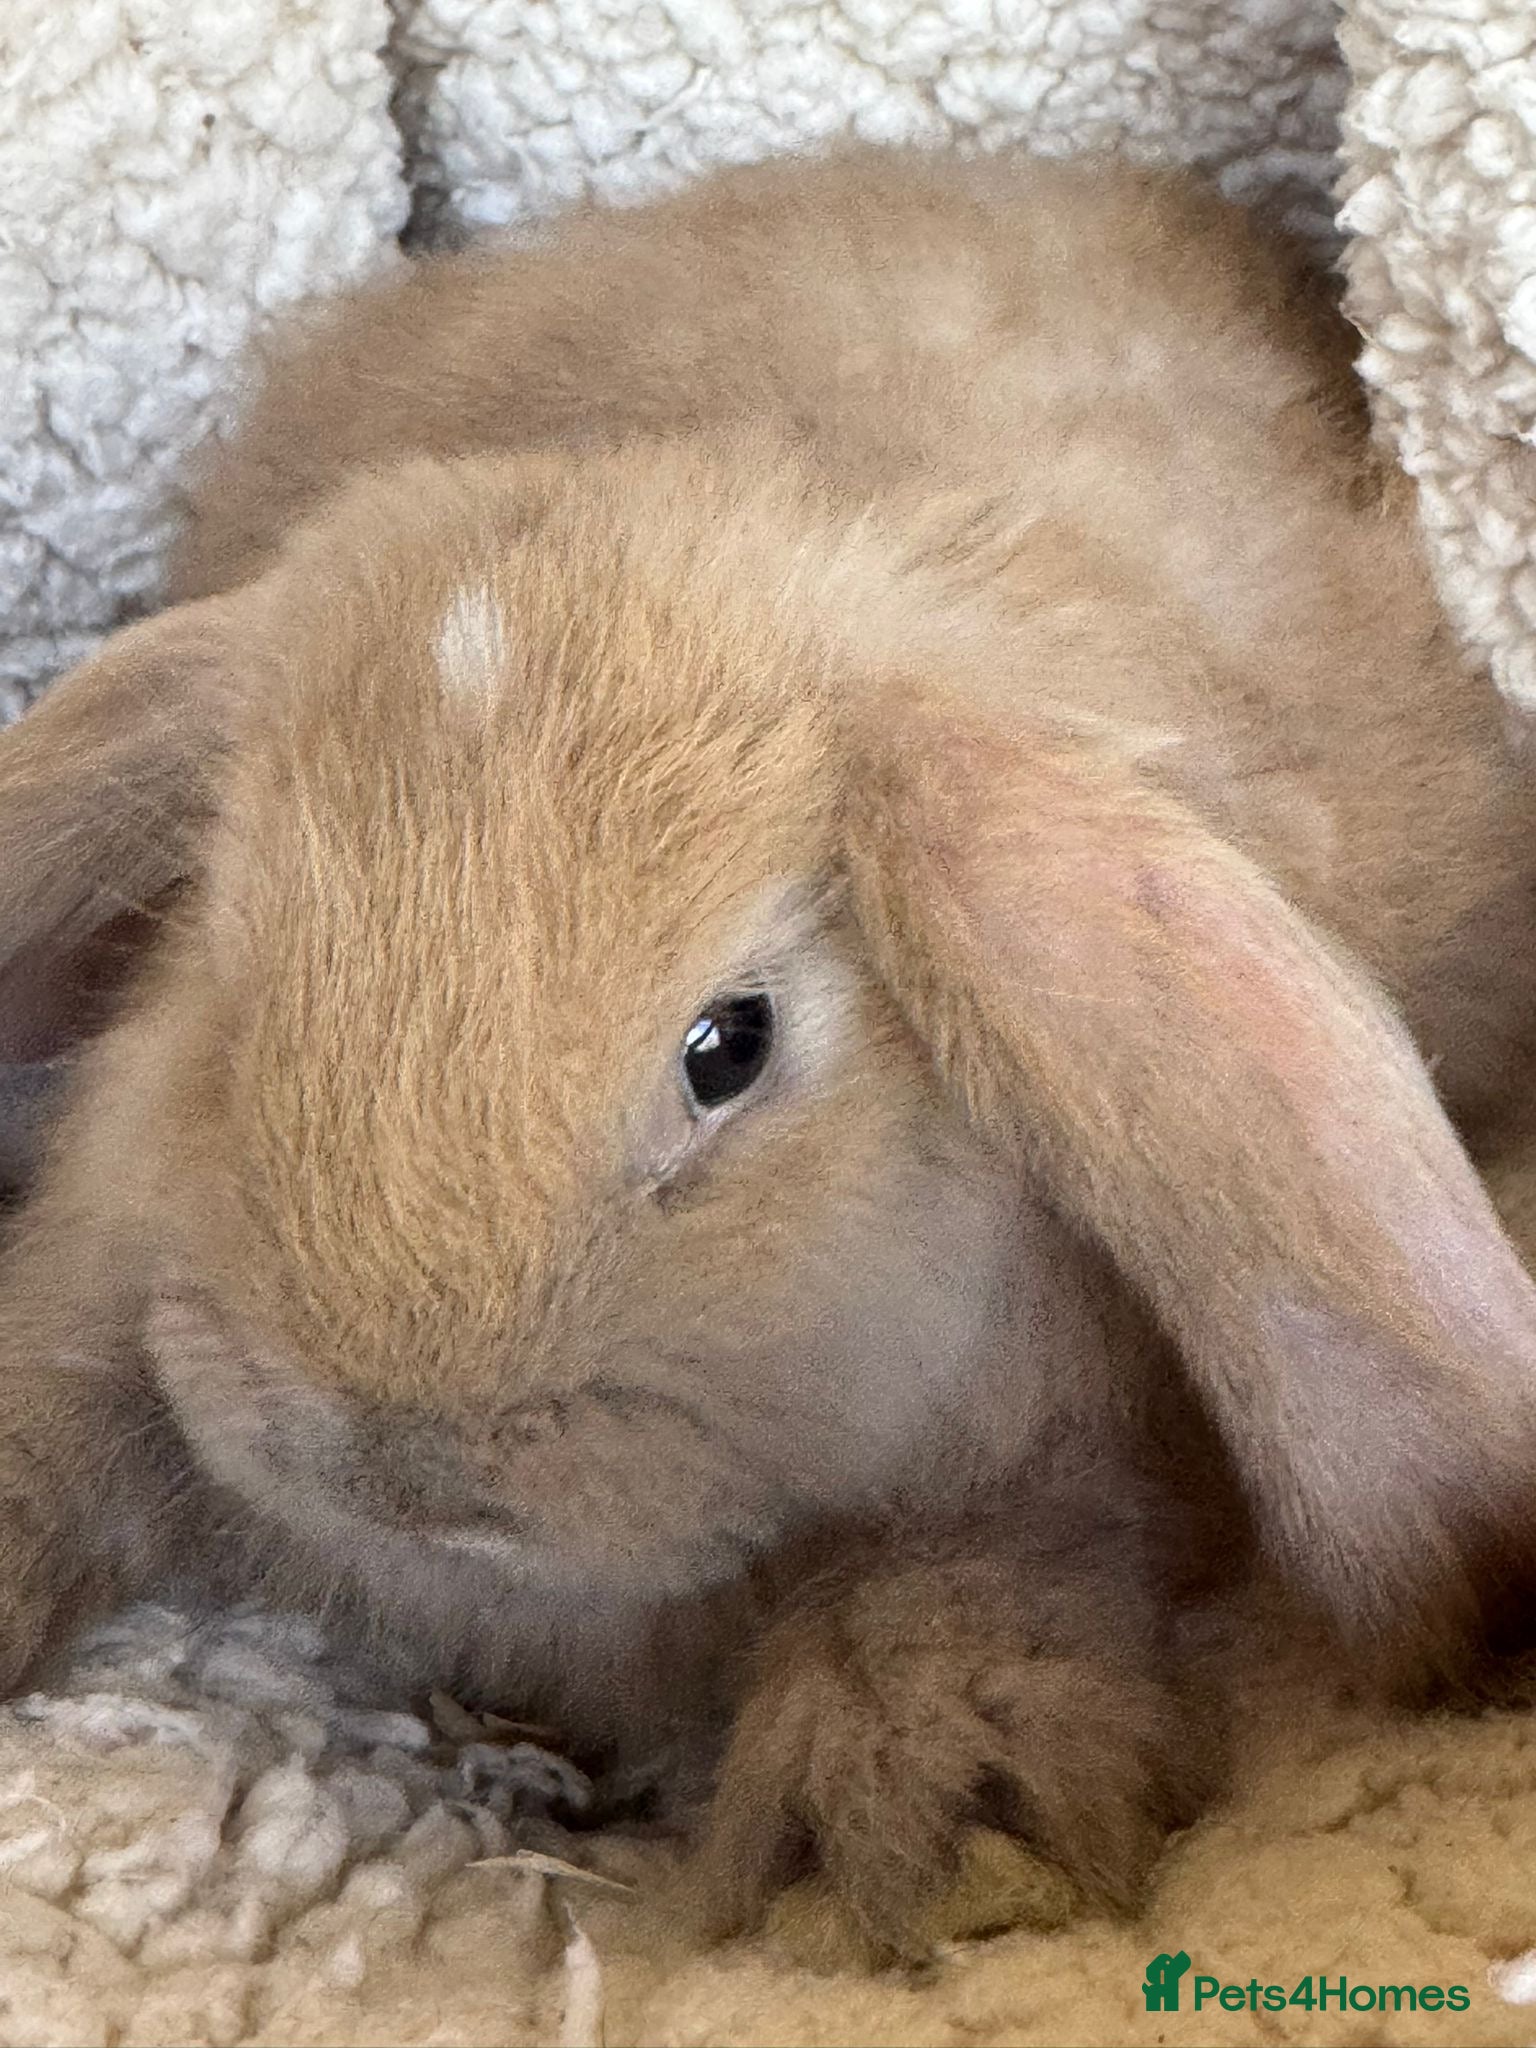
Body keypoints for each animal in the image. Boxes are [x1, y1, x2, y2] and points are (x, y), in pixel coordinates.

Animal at [3, 148, 1536, 1958]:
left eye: (731, 1045)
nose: (392, 1459)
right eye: (226, 966)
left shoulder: (1050, 1458)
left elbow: (960, 1573)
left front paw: (920, 1827)